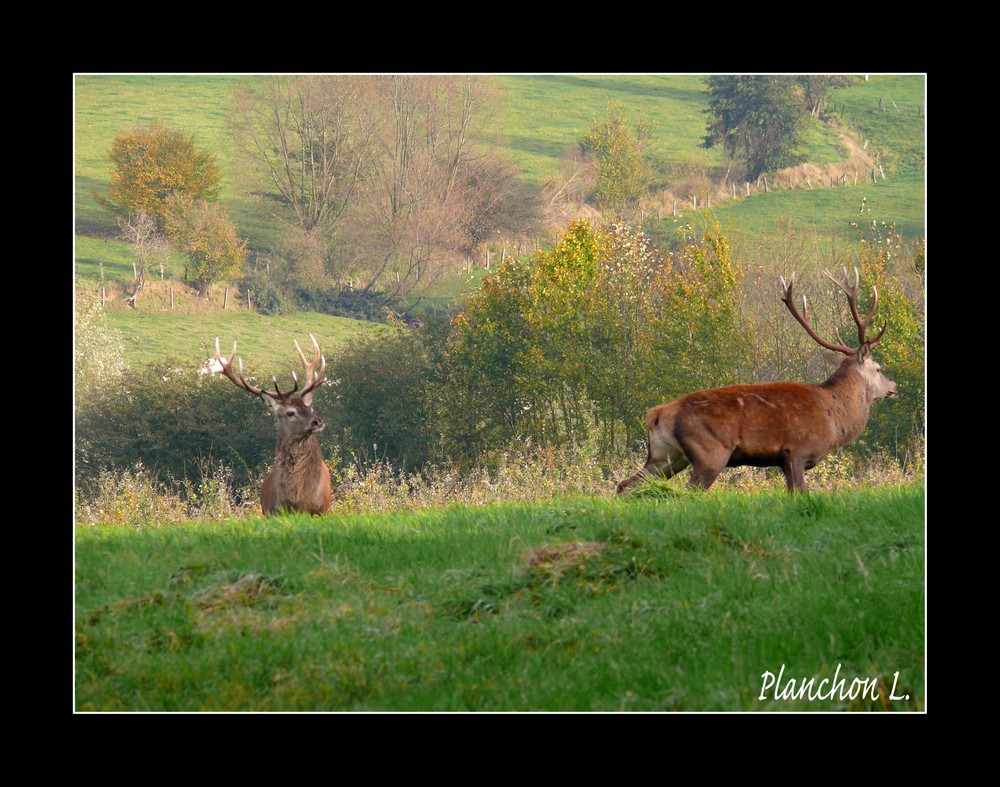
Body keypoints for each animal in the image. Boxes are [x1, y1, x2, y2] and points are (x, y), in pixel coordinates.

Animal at [214, 334, 332, 516]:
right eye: (290, 412)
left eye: (310, 408)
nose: (318, 421)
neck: (297, 500)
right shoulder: (273, 512)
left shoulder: (320, 511)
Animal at [616, 268, 900, 496]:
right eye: (878, 368)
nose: (894, 386)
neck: (833, 416)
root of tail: (657, 413)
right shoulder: (796, 451)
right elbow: (801, 493)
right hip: (710, 452)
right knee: (690, 490)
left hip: (664, 456)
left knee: (626, 484)